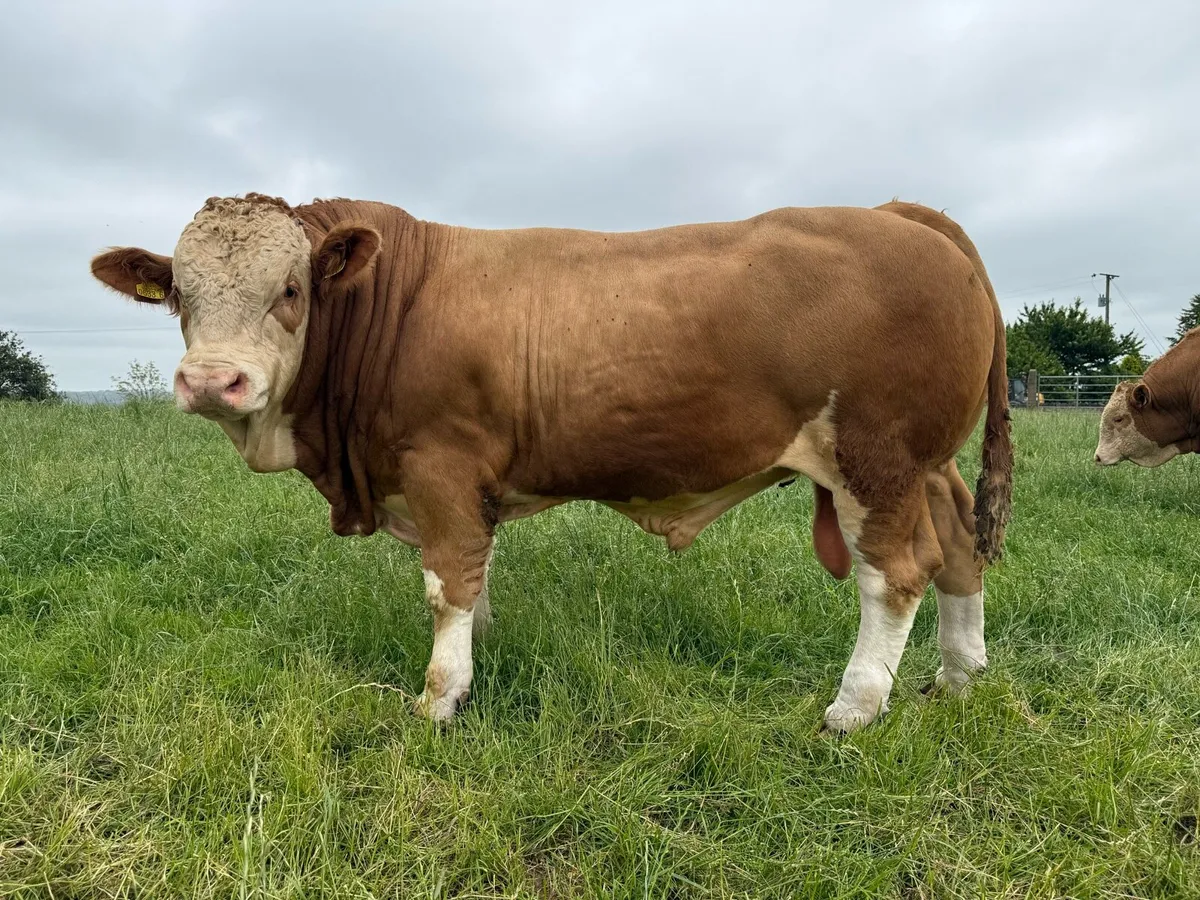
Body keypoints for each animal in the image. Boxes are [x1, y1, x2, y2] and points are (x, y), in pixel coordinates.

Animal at [90, 194, 1012, 733]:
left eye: (290, 290)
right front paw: (477, 659)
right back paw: (958, 679)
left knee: (895, 574)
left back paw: (852, 710)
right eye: (178, 295)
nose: (213, 381)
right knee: (960, 548)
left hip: (876, 459)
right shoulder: (467, 489)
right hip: (929, 465)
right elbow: (476, 577)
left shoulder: (441, 463)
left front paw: (439, 697)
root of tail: (898, 211)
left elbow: (445, 586)